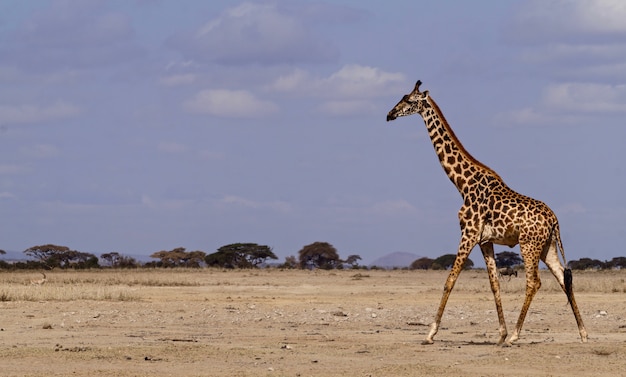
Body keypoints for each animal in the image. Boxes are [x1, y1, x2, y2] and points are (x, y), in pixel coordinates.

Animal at [386, 81, 584, 346]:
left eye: (408, 100)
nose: (390, 114)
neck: (462, 184)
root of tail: (555, 220)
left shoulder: (468, 234)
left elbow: (450, 280)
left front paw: (430, 333)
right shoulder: (485, 240)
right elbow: (494, 284)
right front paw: (500, 334)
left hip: (529, 245)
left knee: (534, 282)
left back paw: (516, 335)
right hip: (547, 246)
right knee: (564, 278)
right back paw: (583, 332)